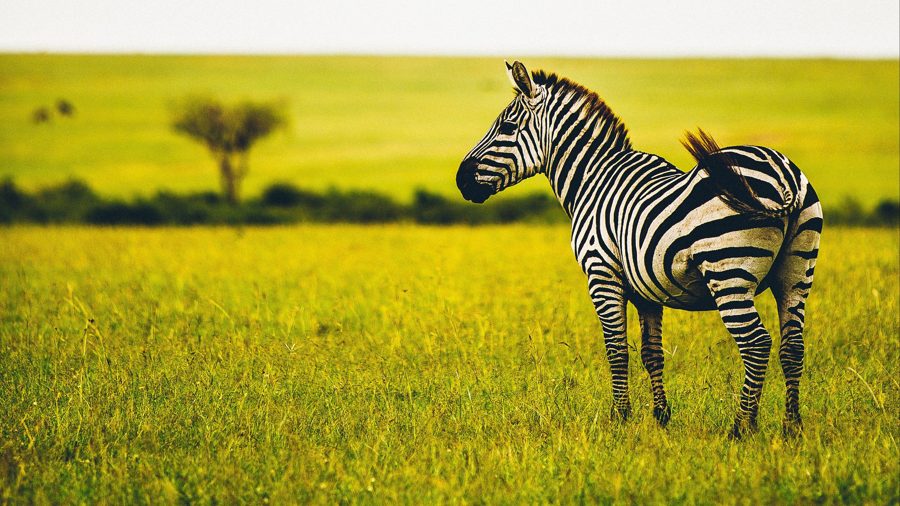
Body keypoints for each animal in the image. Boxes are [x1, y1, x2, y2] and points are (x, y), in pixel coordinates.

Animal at [456, 61, 823, 438]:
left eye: (507, 127)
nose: (460, 179)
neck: (592, 179)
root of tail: (783, 175)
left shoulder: (602, 273)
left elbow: (616, 350)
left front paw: (620, 416)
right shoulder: (647, 287)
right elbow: (651, 353)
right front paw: (661, 416)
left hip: (728, 271)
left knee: (756, 343)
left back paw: (742, 427)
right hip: (796, 273)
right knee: (793, 346)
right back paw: (792, 426)